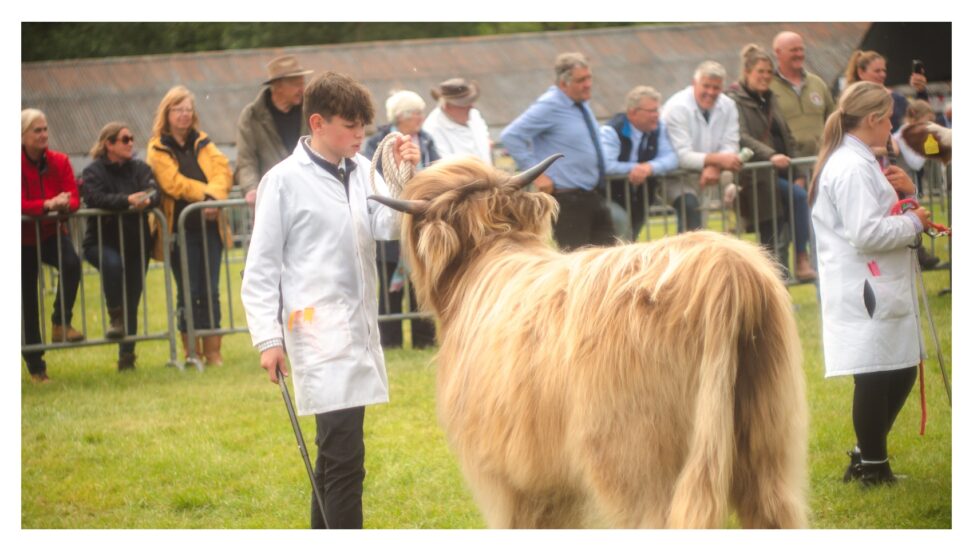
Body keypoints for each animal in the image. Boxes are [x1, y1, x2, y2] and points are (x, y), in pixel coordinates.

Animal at [370, 154, 808, 528]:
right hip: (766, 435)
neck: (487, 261)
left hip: (633, 458)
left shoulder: (502, 471)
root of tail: (725, 270)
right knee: (774, 510)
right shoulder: (547, 475)